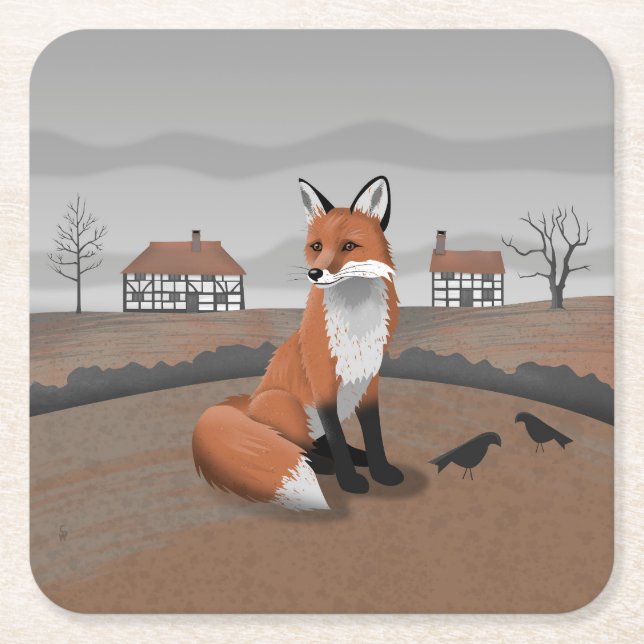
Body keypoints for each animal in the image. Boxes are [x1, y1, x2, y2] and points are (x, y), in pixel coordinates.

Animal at [192, 176, 403, 510]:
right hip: (288, 405)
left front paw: (381, 470)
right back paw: (325, 465)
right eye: (317, 246)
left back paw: (357, 457)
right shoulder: (322, 383)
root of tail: (248, 405)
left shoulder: (369, 381)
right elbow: (336, 438)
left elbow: (374, 436)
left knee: (318, 442)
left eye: (348, 246)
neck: (356, 326)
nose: (315, 273)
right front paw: (349, 481)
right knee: (298, 445)